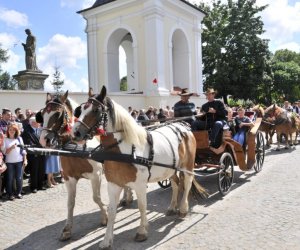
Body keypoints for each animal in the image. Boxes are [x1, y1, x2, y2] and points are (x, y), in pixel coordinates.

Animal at [70, 86, 207, 250]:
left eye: (96, 110)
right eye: (80, 109)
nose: (75, 133)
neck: (124, 151)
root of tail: (182, 126)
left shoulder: (140, 185)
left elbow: (142, 206)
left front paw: (142, 231)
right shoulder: (113, 184)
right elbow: (112, 210)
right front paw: (106, 239)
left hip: (187, 166)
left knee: (187, 183)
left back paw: (183, 209)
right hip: (171, 169)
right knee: (175, 185)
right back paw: (172, 207)